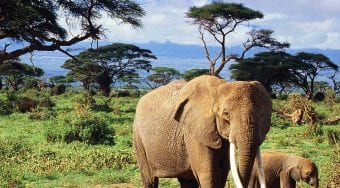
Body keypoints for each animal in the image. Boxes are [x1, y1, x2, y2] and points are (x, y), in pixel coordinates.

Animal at [133, 75, 270, 187]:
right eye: (226, 114)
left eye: (262, 115)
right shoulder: (194, 132)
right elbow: (209, 174)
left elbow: (222, 173)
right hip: (138, 136)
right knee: (150, 179)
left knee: (188, 182)